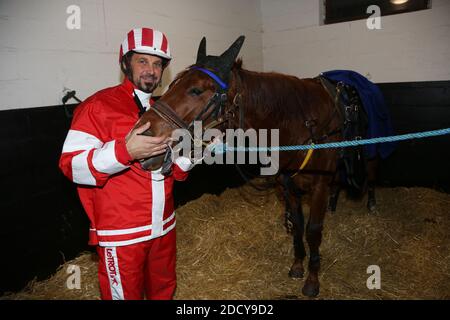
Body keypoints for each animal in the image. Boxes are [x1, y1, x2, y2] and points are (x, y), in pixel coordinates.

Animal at [136, 35, 372, 298]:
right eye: (171, 85)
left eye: (196, 90)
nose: (142, 133)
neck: (302, 123)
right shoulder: (287, 185)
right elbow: (298, 225)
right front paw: (297, 265)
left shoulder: (319, 185)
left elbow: (313, 230)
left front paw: (312, 280)